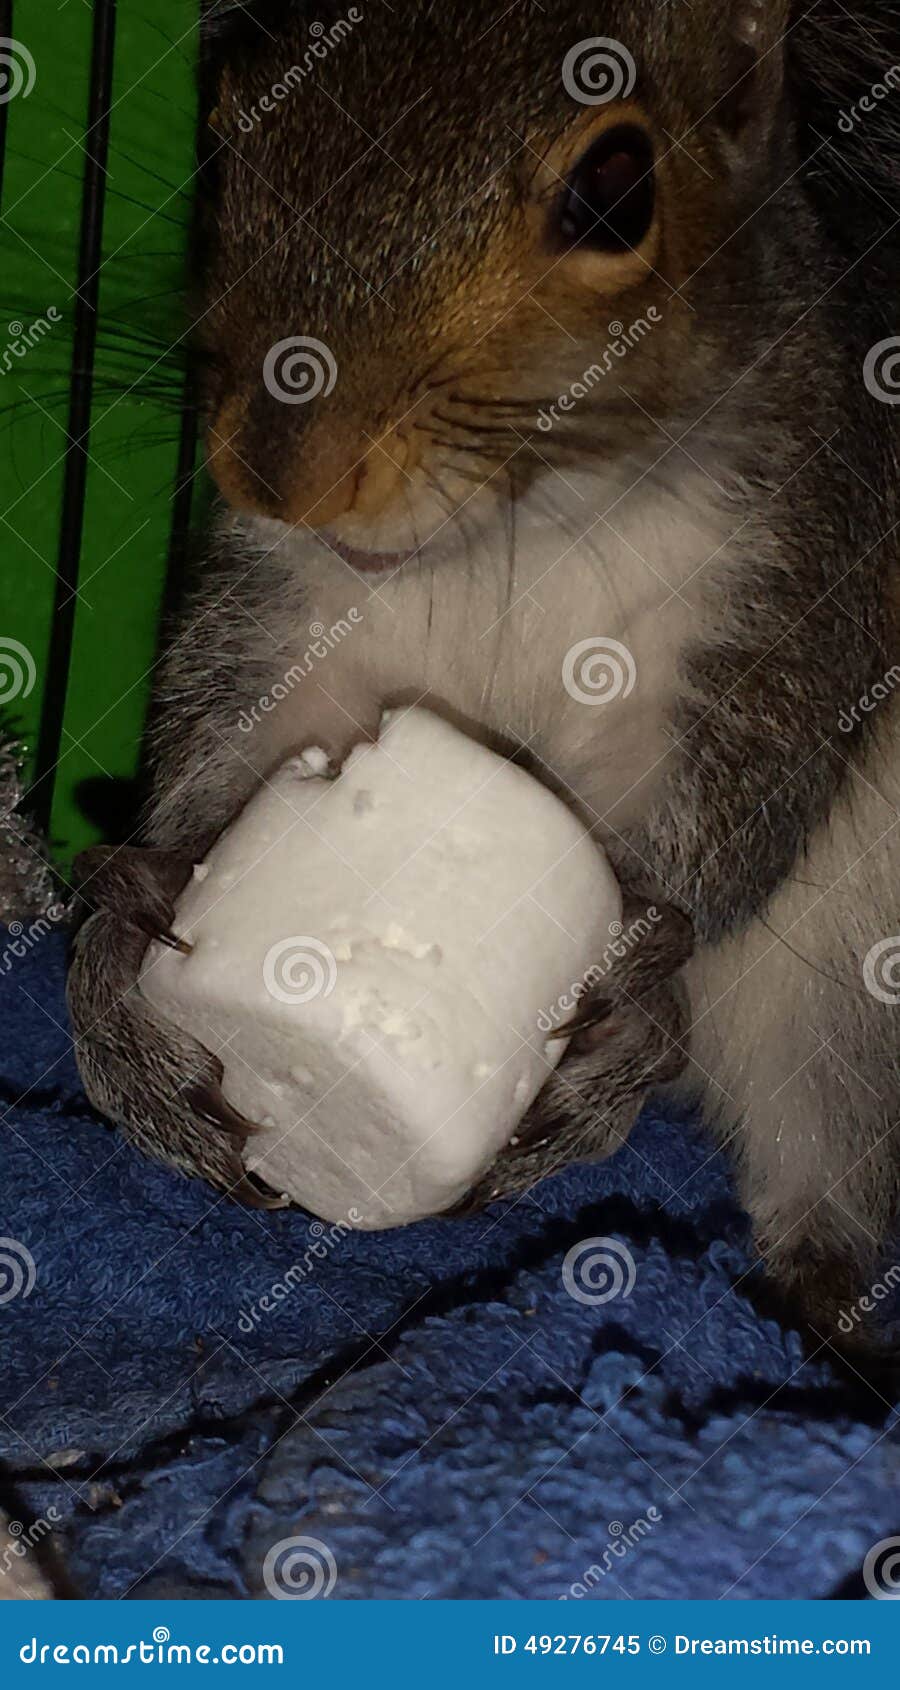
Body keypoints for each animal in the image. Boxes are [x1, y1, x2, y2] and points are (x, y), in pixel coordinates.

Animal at [68, 0, 900, 1347]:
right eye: (227, 125)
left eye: (615, 192)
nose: (280, 470)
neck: (522, 533)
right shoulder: (288, 626)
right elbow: (224, 759)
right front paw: (119, 962)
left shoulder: (804, 576)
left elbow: (745, 808)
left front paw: (636, 998)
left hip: (850, 986)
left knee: (820, 1157)